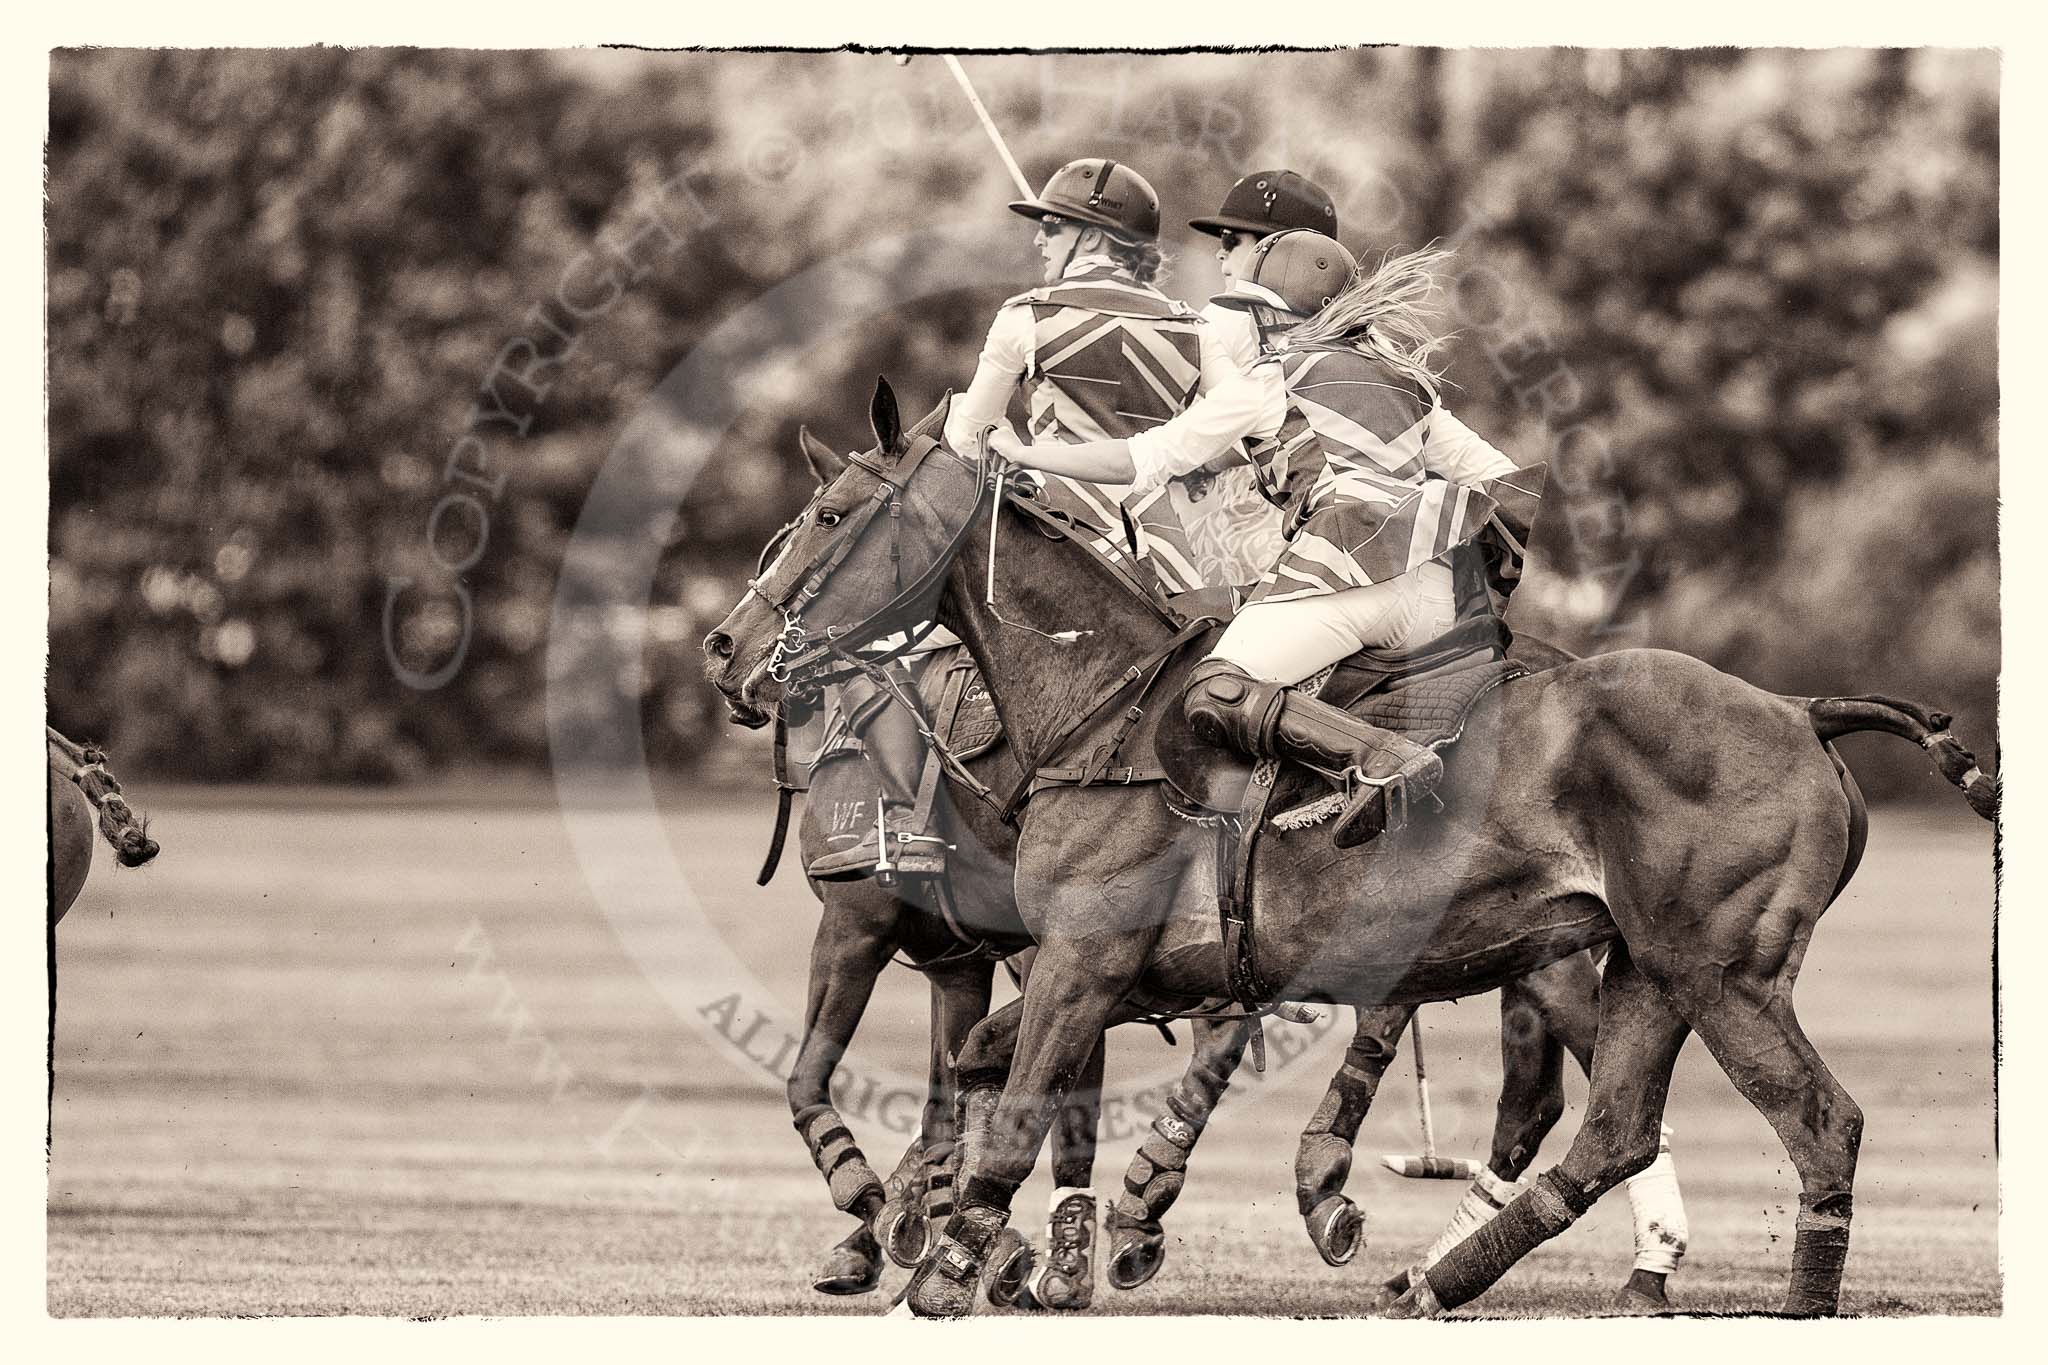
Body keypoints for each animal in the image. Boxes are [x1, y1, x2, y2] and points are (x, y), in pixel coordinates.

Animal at [704, 378, 1982, 1317]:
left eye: (829, 517)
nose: (728, 650)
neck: (1093, 712)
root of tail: (1802, 712)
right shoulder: (1109, 971)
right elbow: (984, 1070)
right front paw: (930, 1220)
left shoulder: (1075, 962)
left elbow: (1014, 1111)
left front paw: (950, 1266)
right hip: (1644, 969)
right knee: (1611, 1129)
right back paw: (1434, 1283)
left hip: (1722, 969)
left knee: (1816, 1125)